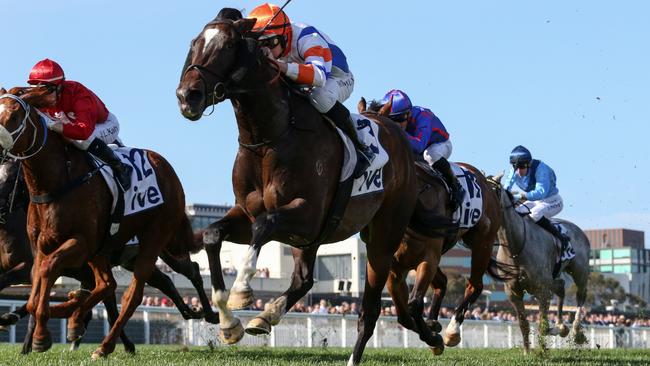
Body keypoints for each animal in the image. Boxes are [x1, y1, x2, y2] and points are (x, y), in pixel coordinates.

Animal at [0, 86, 211, 358]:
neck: (57, 183)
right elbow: (36, 294)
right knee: (130, 283)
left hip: (159, 239)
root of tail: (168, 169)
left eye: (14, 116)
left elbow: (48, 276)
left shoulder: (78, 244)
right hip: (112, 252)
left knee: (148, 287)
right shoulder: (42, 250)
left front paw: (40, 335)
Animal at [176, 7, 440, 364]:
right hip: (313, 240)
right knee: (303, 279)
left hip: (382, 237)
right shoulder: (249, 213)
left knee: (369, 308)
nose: (187, 96)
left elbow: (263, 225)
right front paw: (230, 324)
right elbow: (214, 235)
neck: (270, 138)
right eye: (195, 43)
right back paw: (266, 316)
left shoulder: (306, 214)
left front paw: (242, 291)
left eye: (228, 46)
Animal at [356, 96, 498, 352]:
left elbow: (413, 305)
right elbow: (404, 315)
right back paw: (434, 322)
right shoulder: (394, 268)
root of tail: (485, 181)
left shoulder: (427, 259)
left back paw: (452, 331)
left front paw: (435, 338)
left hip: (482, 241)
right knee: (443, 282)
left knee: (475, 286)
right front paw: (431, 331)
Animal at [486, 174, 588, 352]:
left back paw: (576, 332)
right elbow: (524, 324)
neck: (516, 245)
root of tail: (578, 230)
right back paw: (562, 325)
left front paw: (543, 348)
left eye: (492, 191)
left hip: (579, 273)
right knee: (561, 287)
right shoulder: (513, 291)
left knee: (580, 297)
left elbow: (543, 325)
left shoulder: (541, 288)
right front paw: (528, 351)